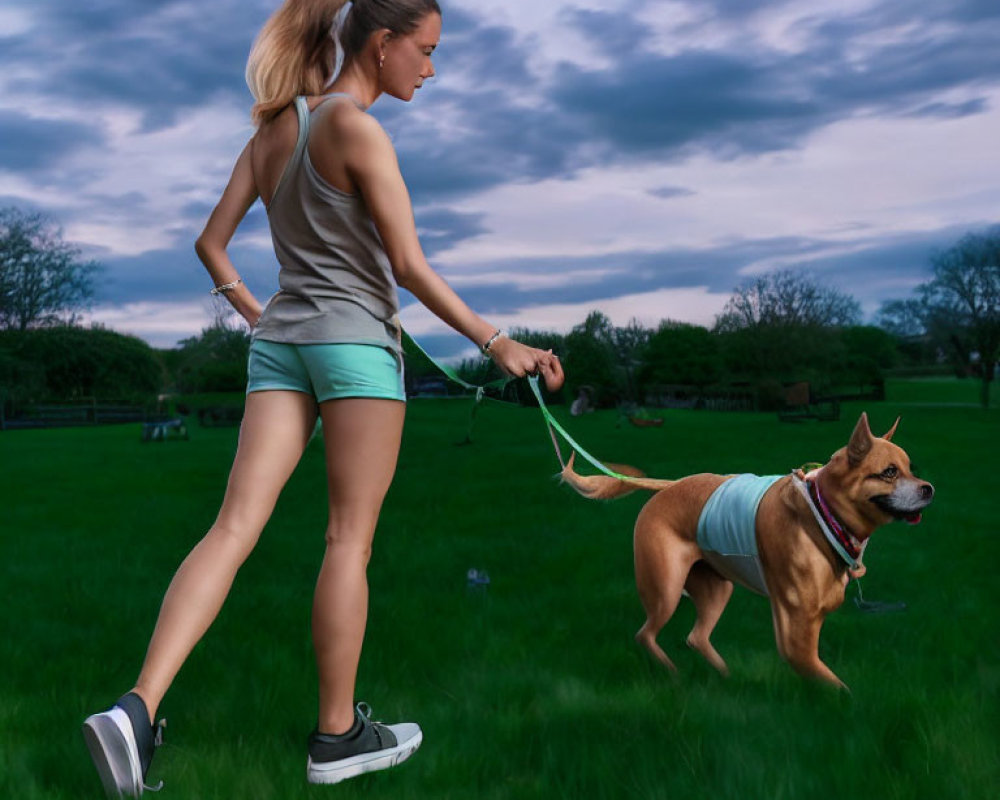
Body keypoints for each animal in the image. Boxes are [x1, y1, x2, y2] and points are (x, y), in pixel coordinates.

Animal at [560, 412, 932, 688]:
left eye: (911, 468)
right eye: (889, 472)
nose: (929, 489)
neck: (821, 513)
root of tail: (669, 486)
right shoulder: (796, 641)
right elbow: (838, 688)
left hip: (715, 587)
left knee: (696, 636)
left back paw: (726, 676)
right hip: (666, 589)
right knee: (645, 634)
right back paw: (675, 675)